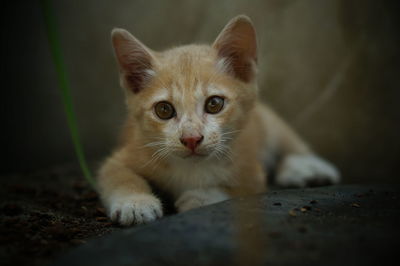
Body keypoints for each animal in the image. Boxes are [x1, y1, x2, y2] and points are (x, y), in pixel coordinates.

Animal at [97, 15, 338, 225]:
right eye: (164, 109)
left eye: (214, 104)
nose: (191, 139)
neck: (192, 169)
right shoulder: (130, 150)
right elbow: (118, 174)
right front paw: (134, 203)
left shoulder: (252, 172)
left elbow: (238, 190)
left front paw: (201, 197)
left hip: (269, 121)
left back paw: (307, 168)